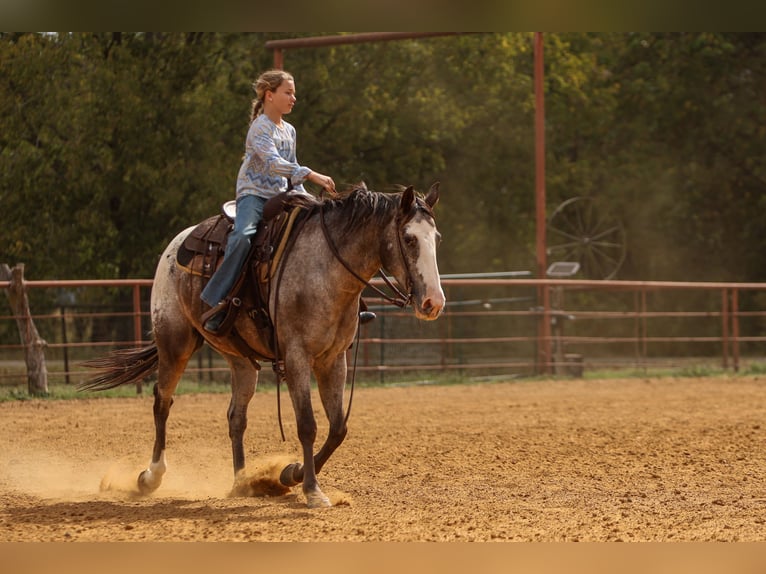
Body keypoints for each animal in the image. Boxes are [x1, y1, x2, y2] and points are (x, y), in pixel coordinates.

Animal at [79, 181, 444, 508]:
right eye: (409, 238)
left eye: (436, 238)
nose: (433, 302)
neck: (325, 268)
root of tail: (177, 242)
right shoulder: (297, 357)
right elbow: (307, 425)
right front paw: (311, 489)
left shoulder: (333, 360)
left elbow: (338, 428)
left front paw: (289, 473)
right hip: (174, 343)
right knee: (162, 402)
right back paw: (150, 477)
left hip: (240, 361)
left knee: (235, 417)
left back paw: (245, 482)